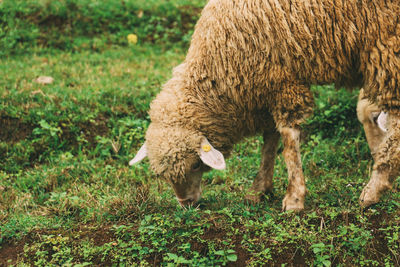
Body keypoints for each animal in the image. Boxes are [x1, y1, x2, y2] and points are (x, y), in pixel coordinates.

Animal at [130, 0, 400, 211]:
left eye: (196, 164)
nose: (186, 203)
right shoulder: (267, 86)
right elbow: (270, 141)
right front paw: (260, 189)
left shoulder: (282, 81)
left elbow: (288, 140)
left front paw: (294, 199)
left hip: (388, 48)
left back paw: (374, 189)